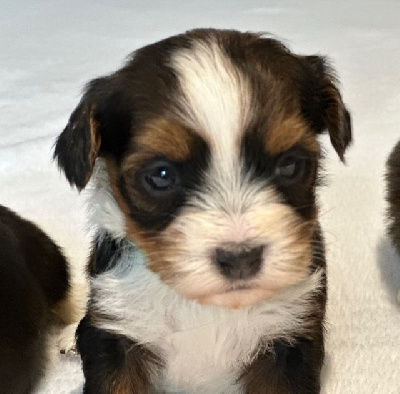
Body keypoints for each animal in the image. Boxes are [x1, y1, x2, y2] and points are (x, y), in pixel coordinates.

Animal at [54, 29, 352, 392]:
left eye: (290, 165)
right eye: (161, 175)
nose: (240, 258)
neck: (203, 305)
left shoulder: (289, 338)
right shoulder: (116, 335)